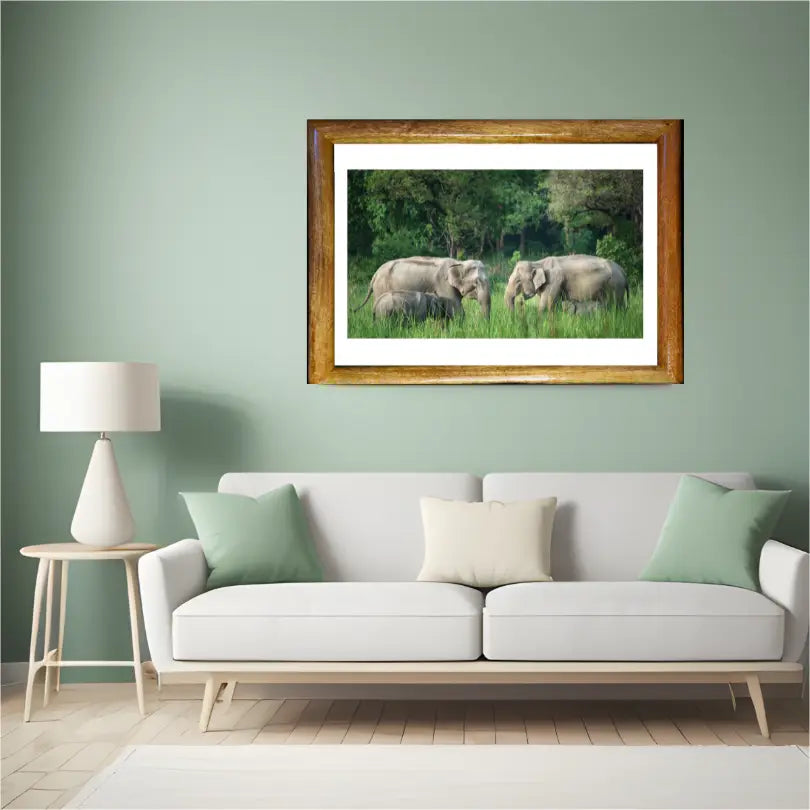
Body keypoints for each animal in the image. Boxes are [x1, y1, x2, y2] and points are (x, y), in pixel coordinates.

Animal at [355, 257, 491, 320]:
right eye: (476, 282)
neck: (459, 263)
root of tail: (375, 275)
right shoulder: (443, 285)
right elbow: (456, 311)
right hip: (381, 288)